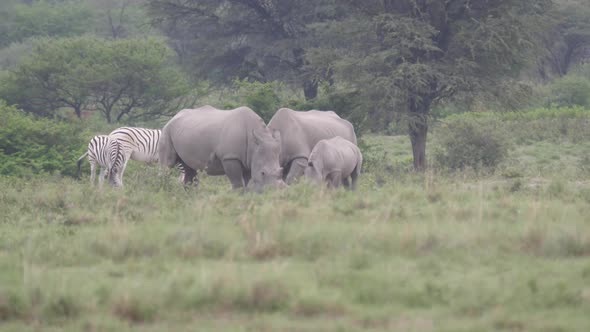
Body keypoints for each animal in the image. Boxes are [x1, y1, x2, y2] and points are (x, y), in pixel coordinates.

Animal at [158, 105, 286, 191]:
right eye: (263, 173)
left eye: (281, 171)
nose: (274, 191)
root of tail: (174, 116)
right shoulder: (230, 157)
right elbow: (238, 183)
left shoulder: (249, 160)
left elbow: (245, 182)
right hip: (167, 130)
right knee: (167, 164)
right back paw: (163, 190)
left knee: (189, 169)